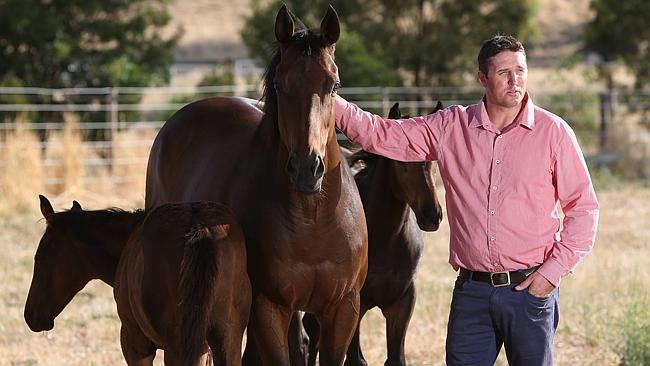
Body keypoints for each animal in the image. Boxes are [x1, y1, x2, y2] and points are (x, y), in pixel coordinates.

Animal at [146, 4, 368, 364]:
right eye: (279, 84)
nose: (307, 169)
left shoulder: (343, 309)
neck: (314, 217)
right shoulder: (268, 309)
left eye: (334, 85)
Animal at [302, 101, 442, 366]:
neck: (385, 239)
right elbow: (356, 359)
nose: (432, 215)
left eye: (434, 160)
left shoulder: (402, 303)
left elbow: (395, 358)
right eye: (400, 162)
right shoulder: (354, 305)